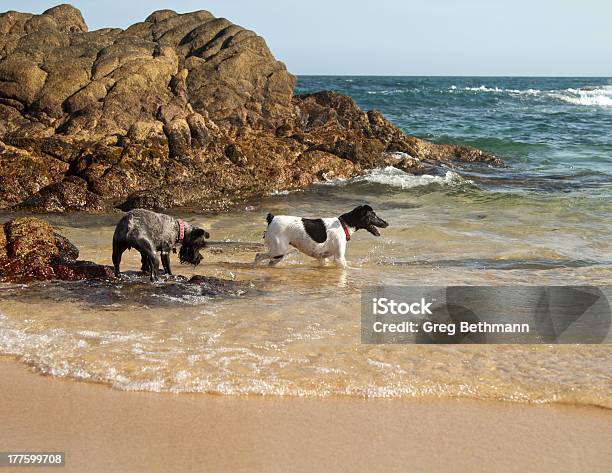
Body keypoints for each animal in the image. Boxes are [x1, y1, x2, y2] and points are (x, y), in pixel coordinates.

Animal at [255, 205, 390, 268]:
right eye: (373, 215)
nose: (387, 223)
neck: (344, 225)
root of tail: (272, 218)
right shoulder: (339, 258)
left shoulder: (322, 258)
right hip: (279, 251)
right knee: (258, 256)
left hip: (277, 255)